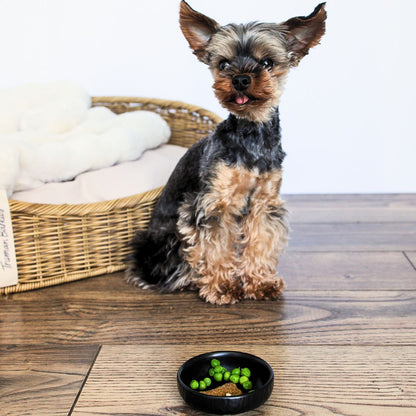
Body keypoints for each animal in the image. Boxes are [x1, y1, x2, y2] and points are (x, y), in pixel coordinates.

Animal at [127, 1, 324, 304]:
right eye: (223, 64)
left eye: (267, 63)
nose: (241, 79)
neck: (252, 134)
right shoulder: (214, 203)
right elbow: (215, 246)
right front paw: (222, 286)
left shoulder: (263, 202)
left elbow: (260, 240)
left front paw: (260, 282)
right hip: (166, 239)